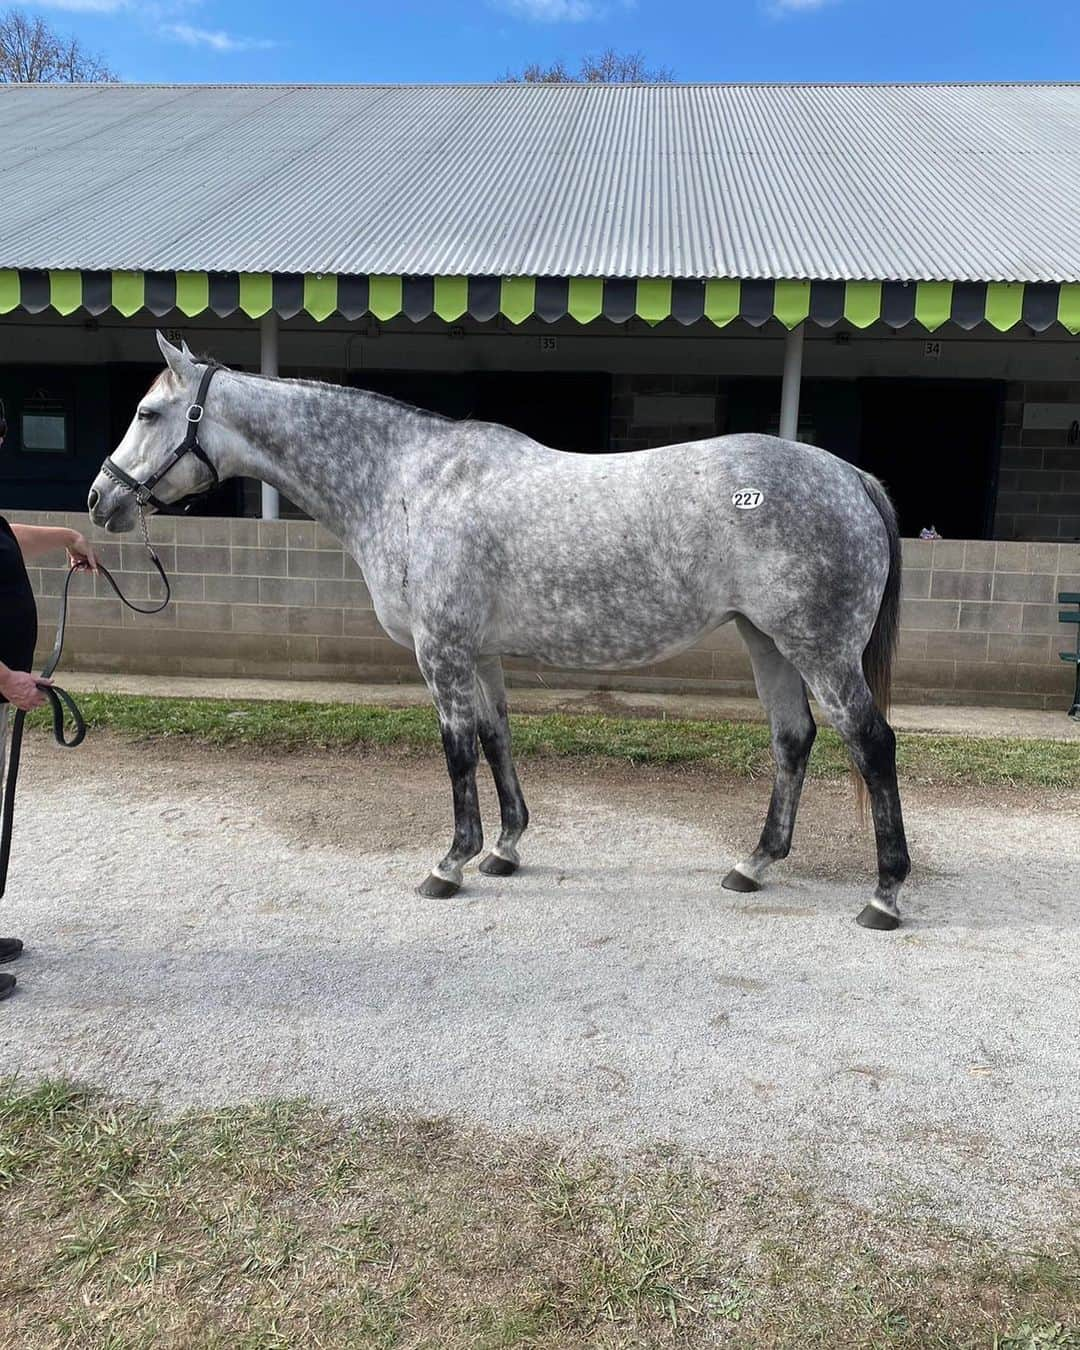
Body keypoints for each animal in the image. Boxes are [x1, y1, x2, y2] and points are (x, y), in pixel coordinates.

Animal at [86, 336, 912, 928]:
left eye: (148, 414)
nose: (100, 500)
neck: (406, 484)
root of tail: (850, 477)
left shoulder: (441, 651)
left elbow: (456, 752)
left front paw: (449, 864)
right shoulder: (478, 654)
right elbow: (496, 739)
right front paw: (506, 850)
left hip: (818, 649)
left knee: (871, 744)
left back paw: (883, 897)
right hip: (765, 641)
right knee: (792, 740)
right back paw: (753, 865)